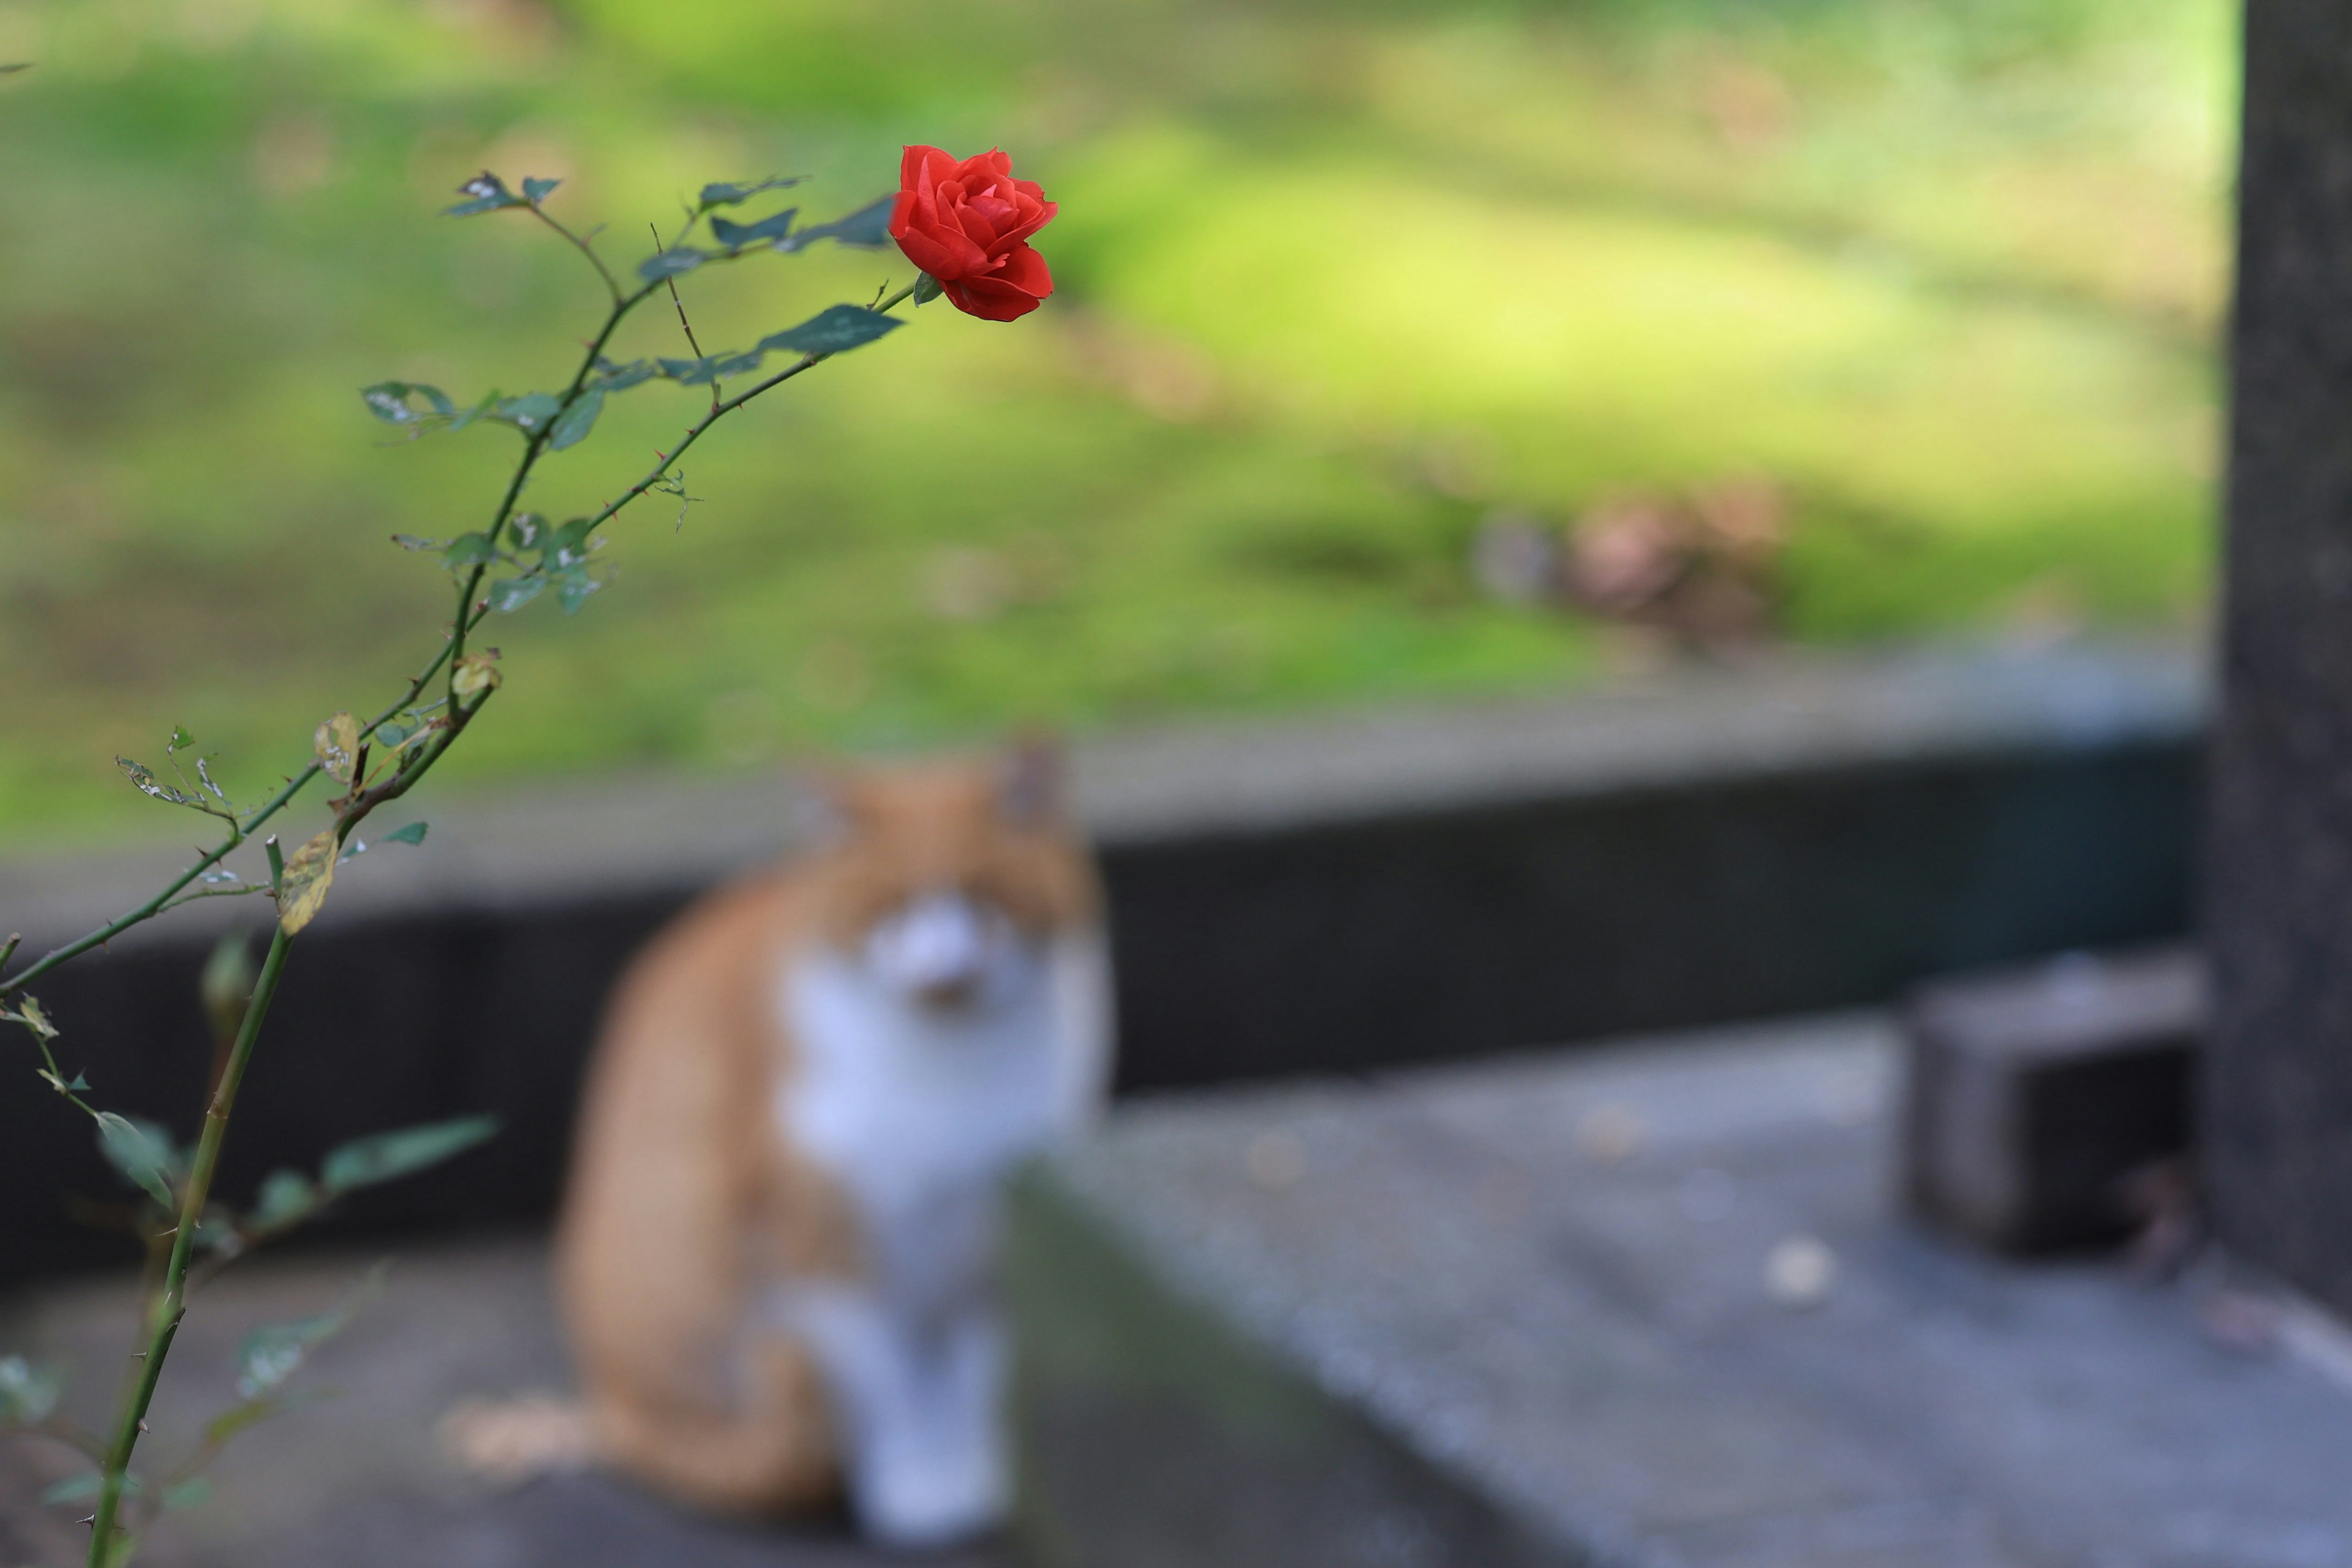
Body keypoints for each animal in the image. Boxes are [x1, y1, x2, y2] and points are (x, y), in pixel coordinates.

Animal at [550, 747, 1110, 1542]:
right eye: (888, 905)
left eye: (985, 895)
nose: (944, 969)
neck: (948, 1077)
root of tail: (610, 1396)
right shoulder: (824, 1243)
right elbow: (891, 1384)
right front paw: (919, 1487)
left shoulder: (996, 1244)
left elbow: (976, 1374)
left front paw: (977, 1471)